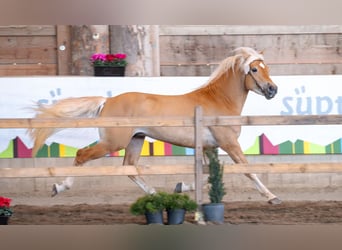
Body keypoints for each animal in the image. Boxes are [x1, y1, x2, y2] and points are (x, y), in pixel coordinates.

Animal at [28, 47, 280, 205]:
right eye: (254, 69)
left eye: (267, 68)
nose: (272, 90)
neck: (218, 101)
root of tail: (107, 101)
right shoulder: (229, 143)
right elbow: (247, 169)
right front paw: (272, 197)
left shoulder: (209, 147)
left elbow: (209, 176)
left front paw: (180, 186)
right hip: (113, 142)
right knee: (82, 155)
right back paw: (59, 187)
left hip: (135, 140)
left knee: (129, 167)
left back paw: (154, 194)